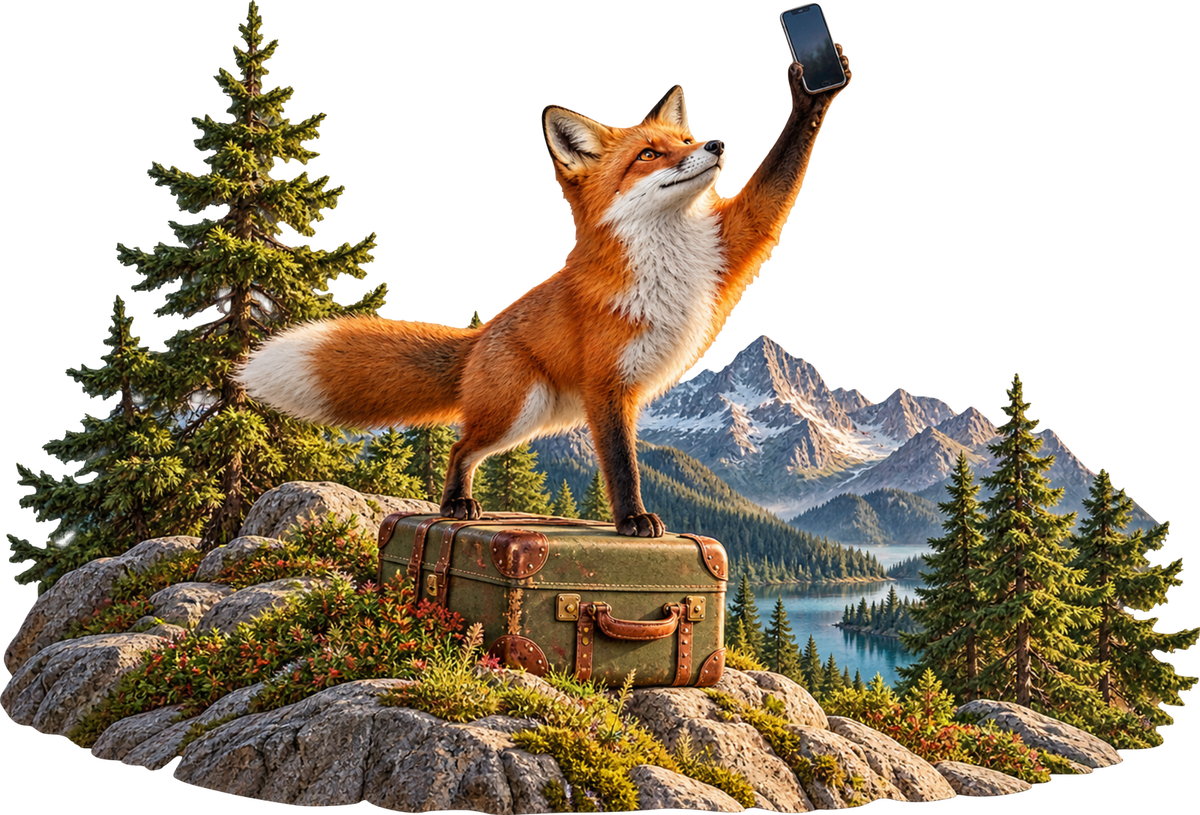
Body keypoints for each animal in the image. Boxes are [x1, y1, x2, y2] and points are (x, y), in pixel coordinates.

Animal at [235, 44, 854, 537]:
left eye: (686, 138)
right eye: (649, 154)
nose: (717, 140)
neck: (670, 255)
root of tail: (479, 336)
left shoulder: (736, 242)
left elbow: (773, 190)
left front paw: (813, 86)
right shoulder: (608, 383)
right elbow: (622, 465)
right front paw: (632, 521)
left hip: (535, 420)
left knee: (467, 445)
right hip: (518, 410)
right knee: (459, 446)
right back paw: (455, 506)